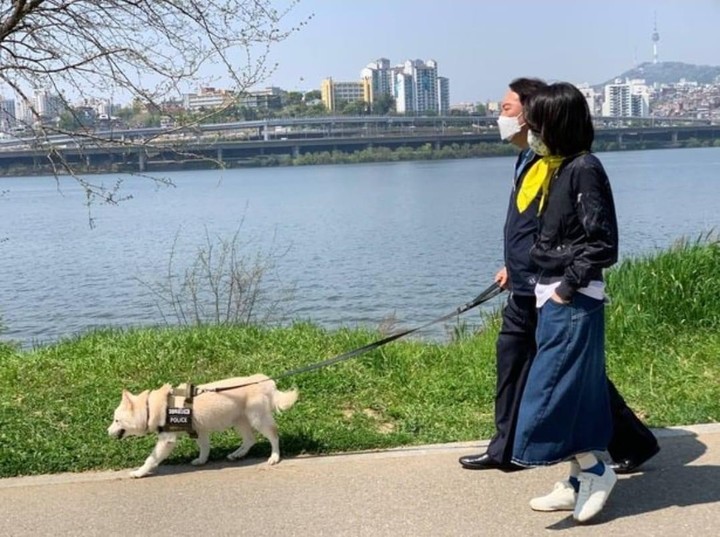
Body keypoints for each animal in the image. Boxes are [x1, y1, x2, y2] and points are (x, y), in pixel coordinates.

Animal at [107, 372, 298, 478]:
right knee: (250, 440)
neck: (151, 407)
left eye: (116, 420)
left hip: (257, 419)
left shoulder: (167, 440)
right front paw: (202, 460)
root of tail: (264, 381)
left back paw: (274, 457)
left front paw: (139, 472)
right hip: (238, 421)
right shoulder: (199, 430)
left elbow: (151, 459)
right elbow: (205, 447)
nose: (107, 432)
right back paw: (237, 454)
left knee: (273, 435)